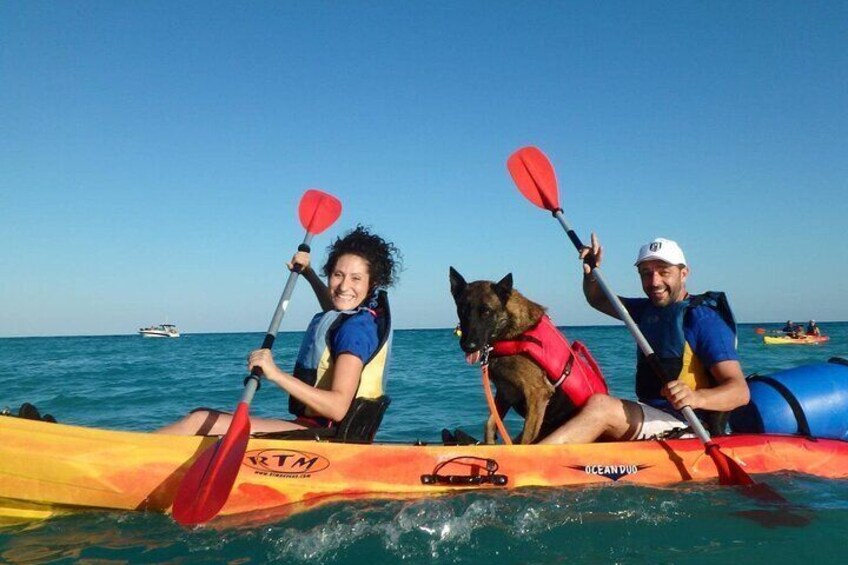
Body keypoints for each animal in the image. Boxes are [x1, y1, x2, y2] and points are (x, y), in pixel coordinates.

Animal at [448, 266, 580, 442]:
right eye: (462, 311)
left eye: (486, 312)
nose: (468, 346)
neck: (510, 330)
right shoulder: (504, 393)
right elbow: (489, 425)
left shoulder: (537, 393)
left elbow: (525, 440)